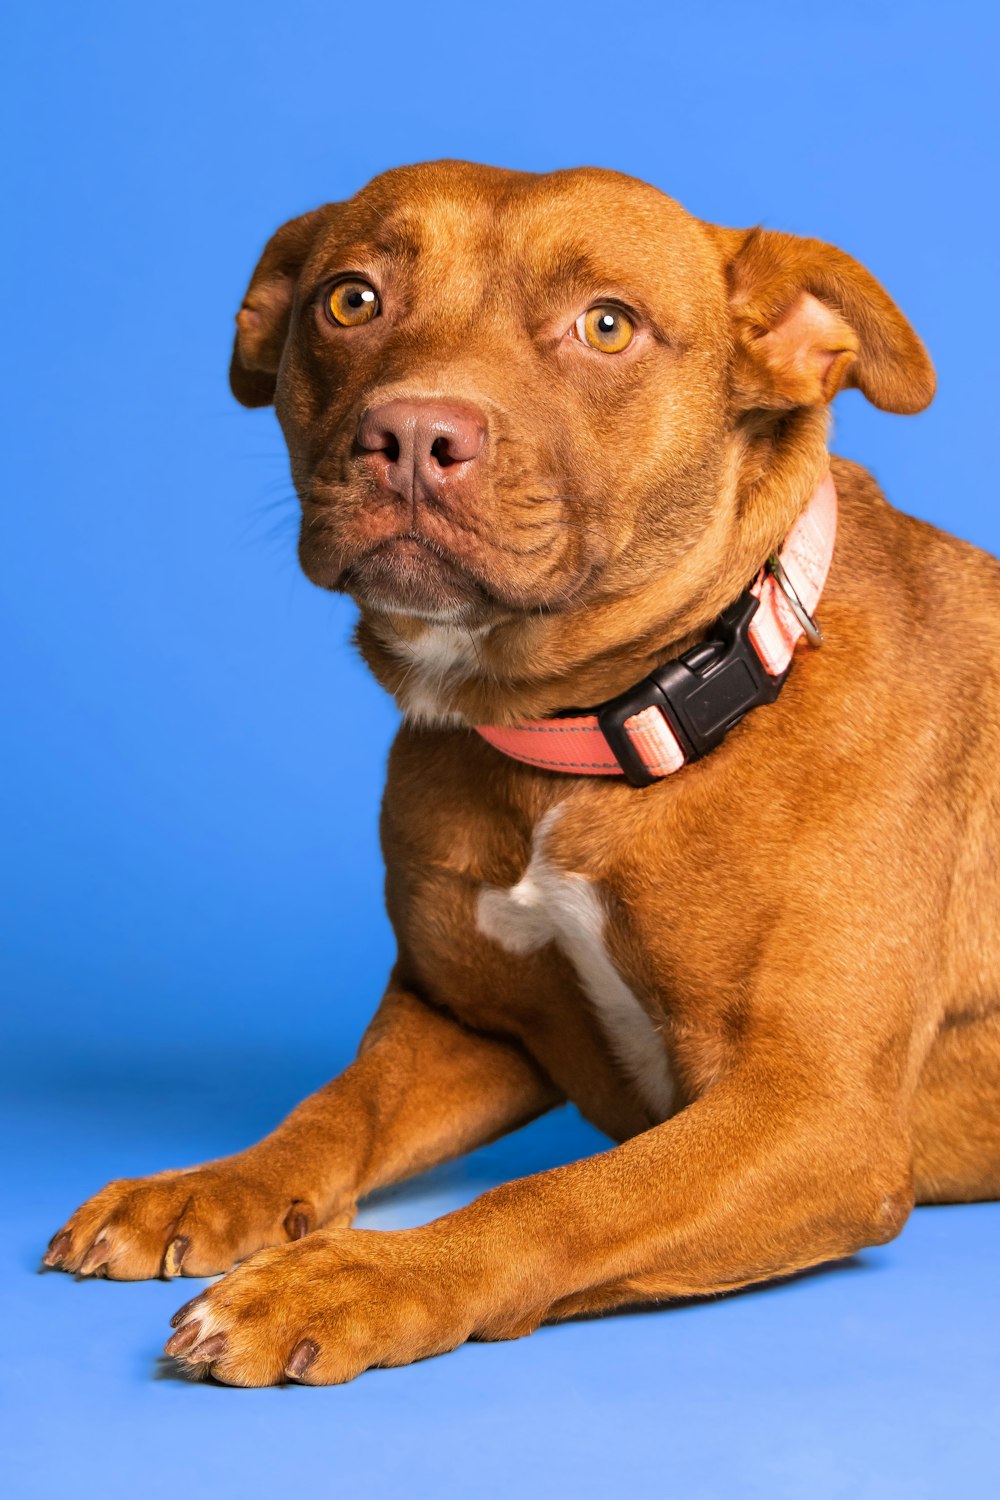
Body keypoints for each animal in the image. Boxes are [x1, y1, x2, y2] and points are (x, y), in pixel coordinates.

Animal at [44, 161, 1000, 1380]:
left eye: (607, 325)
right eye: (349, 300)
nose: (411, 434)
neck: (589, 737)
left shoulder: (808, 1114)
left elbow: (558, 1200)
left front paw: (357, 1277)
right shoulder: (465, 1024)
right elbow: (332, 1112)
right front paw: (208, 1186)